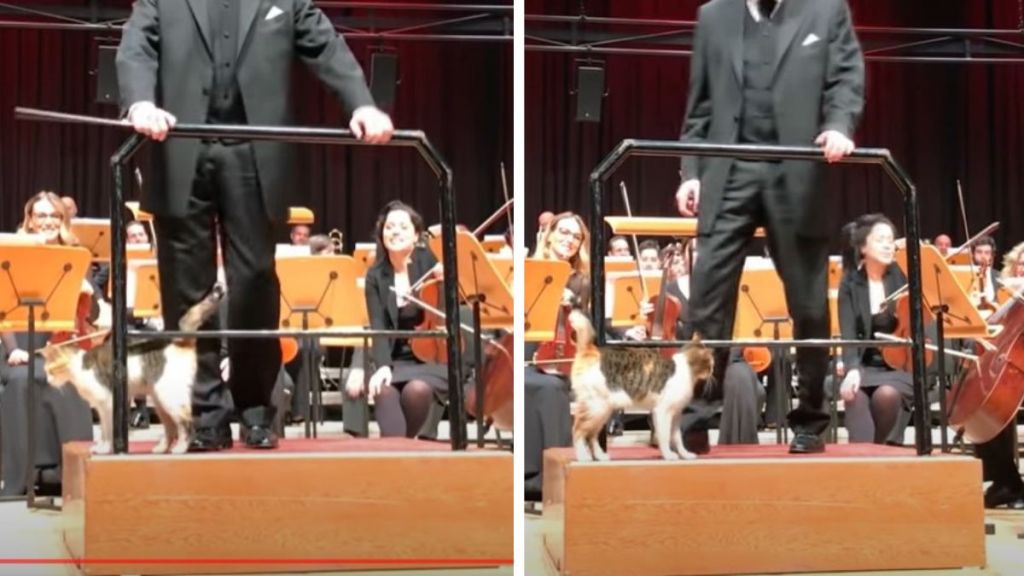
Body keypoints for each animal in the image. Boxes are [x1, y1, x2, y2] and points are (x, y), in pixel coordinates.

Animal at [41, 282, 224, 453]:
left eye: (51, 370)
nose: (48, 380)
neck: (79, 366)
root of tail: (179, 340)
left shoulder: (108, 403)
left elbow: (107, 431)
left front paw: (104, 449)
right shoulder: (101, 407)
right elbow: (104, 430)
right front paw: (101, 447)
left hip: (169, 397)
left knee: (187, 424)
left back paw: (180, 448)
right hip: (159, 400)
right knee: (170, 428)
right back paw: (161, 448)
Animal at [569, 307, 712, 459]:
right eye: (711, 362)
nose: (713, 369)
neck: (686, 369)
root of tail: (590, 349)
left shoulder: (676, 414)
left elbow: (677, 438)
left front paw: (685, 454)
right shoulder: (663, 411)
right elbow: (665, 436)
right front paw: (668, 455)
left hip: (602, 410)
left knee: (592, 436)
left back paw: (601, 456)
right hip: (595, 407)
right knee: (577, 430)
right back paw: (583, 457)